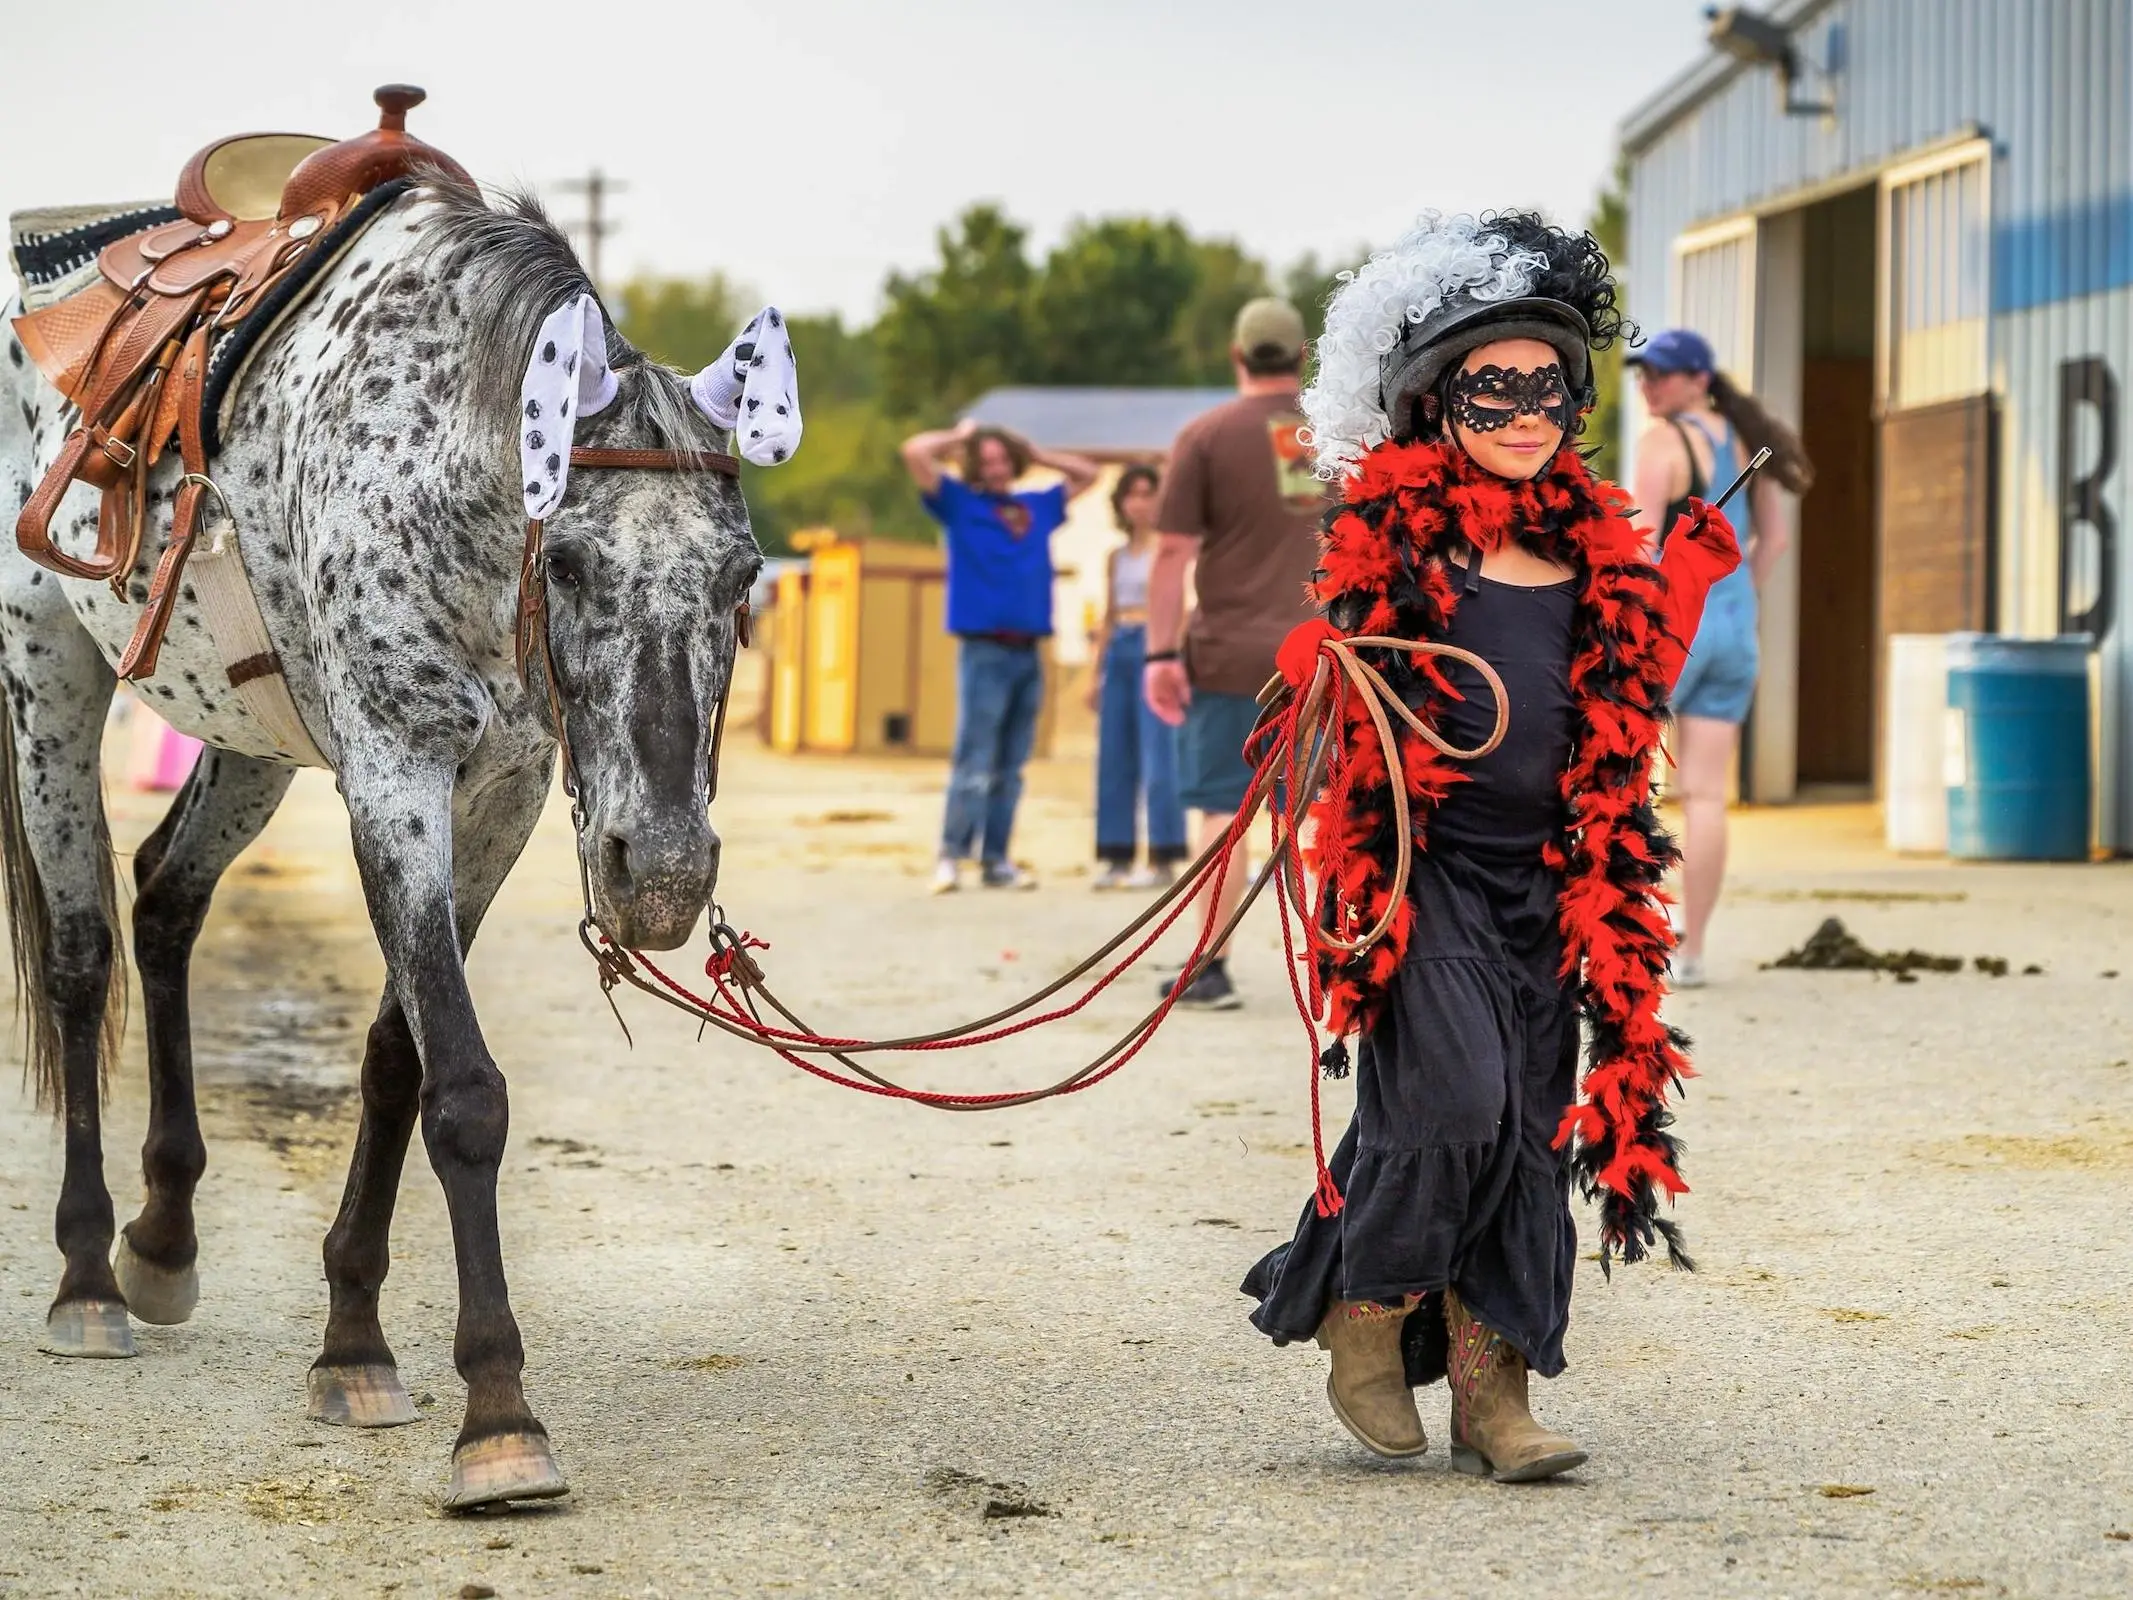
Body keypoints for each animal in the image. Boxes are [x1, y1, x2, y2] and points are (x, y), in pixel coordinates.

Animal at [0, 181, 776, 1510]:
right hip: (47, 670)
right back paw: (89, 1275)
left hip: (248, 733)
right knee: (83, 953)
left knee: (163, 901)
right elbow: (462, 1087)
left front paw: (353, 1342)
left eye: (742, 573)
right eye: (571, 557)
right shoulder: (393, 775)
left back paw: (163, 1236)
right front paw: (499, 1414)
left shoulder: (504, 794)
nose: (665, 871)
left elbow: (397, 1060)